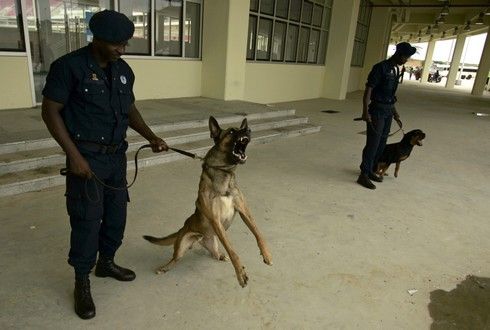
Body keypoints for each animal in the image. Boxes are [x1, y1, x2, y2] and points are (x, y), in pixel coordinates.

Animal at [144, 115, 272, 286]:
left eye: (242, 128)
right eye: (232, 131)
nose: (248, 130)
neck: (223, 172)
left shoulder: (244, 211)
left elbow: (258, 233)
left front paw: (266, 254)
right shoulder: (216, 220)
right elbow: (232, 250)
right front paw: (240, 273)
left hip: (214, 241)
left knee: (215, 254)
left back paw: (220, 255)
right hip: (182, 244)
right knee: (175, 258)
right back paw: (164, 268)